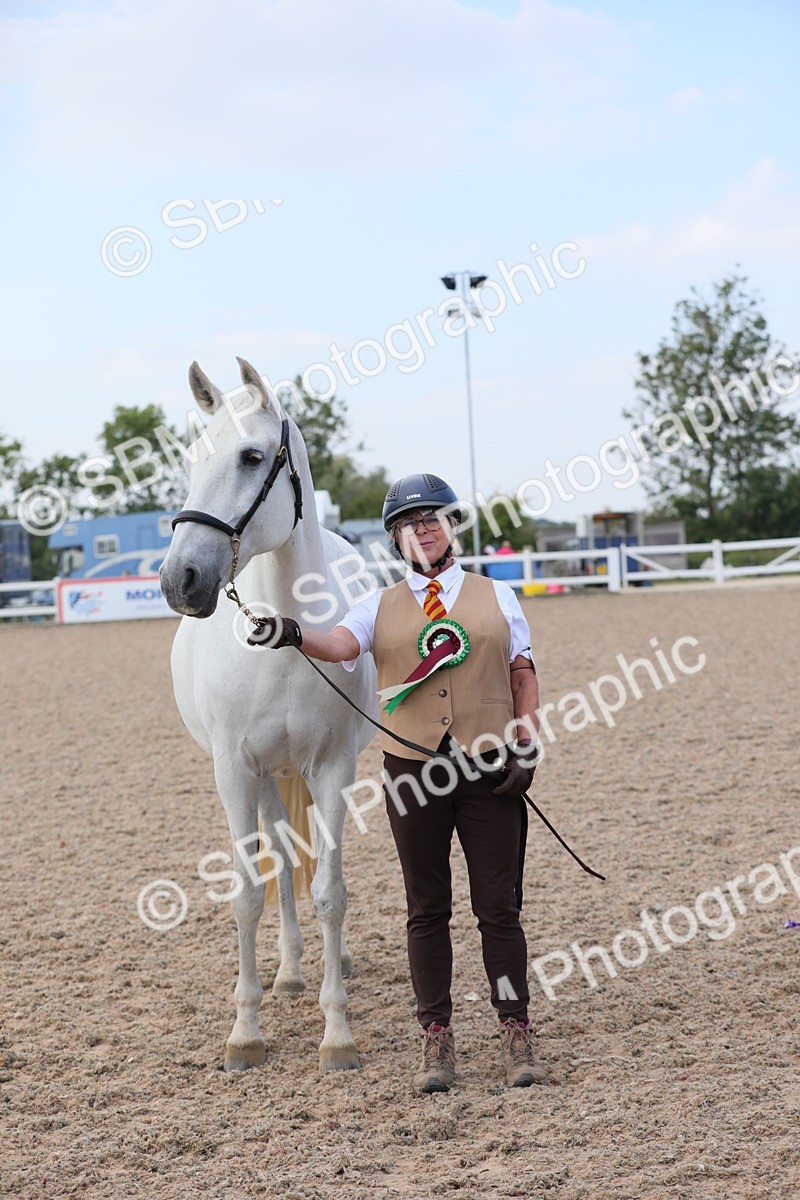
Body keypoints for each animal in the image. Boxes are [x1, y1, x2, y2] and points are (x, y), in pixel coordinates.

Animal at [160, 357, 378, 1073]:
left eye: (252, 456)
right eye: (193, 458)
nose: (179, 580)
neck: (283, 637)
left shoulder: (333, 767)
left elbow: (331, 891)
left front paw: (337, 1034)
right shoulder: (236, 771)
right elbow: (249, 892)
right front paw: (245, 1031)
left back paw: (330, 963)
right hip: (266, 779)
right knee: (281, 859)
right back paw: (287, 973)